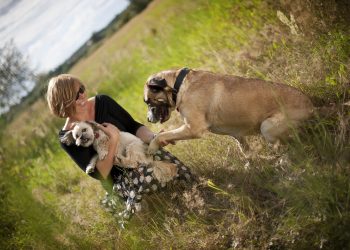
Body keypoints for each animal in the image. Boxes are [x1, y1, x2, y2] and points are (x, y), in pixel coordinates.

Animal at [144, 68, 314, 154]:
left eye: (148, 101)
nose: (148, 119)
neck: (178, 86)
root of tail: (311, 107)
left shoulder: (193, 129)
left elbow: (163, 135)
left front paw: (152, 147)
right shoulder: (235, 133)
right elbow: (244, 149)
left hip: (267, 127)